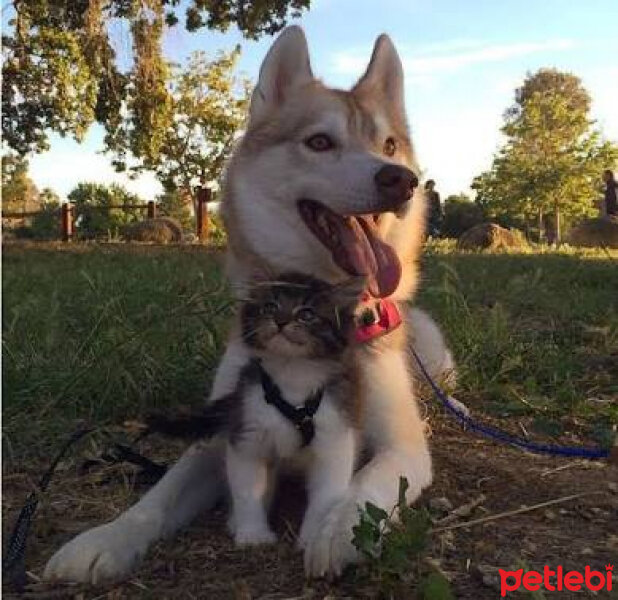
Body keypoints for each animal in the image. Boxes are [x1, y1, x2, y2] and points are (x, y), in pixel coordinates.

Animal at [42, 25, 448, 584]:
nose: (399, 179)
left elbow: (369, 483)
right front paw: (105, 539)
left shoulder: (402, 445)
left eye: (389, 145)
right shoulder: (229, 429)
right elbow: (158, 495)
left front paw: (339, 530)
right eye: (319, 142)